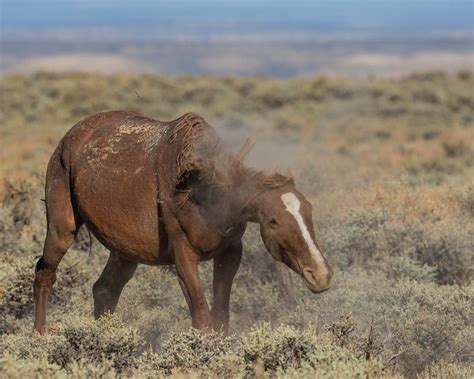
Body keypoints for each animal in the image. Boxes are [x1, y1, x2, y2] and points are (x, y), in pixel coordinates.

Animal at [33, 110, 334, 336]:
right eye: (273, 221)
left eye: (309, 210)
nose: (320, 274)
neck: (199, 191)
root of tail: (70, 137)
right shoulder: (183, 256)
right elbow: (202, 318)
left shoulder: (230, 253)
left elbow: (220, 318)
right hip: (62, 230)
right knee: (44, 273)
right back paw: (40, 335)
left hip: (124, 251)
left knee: (105, 290)